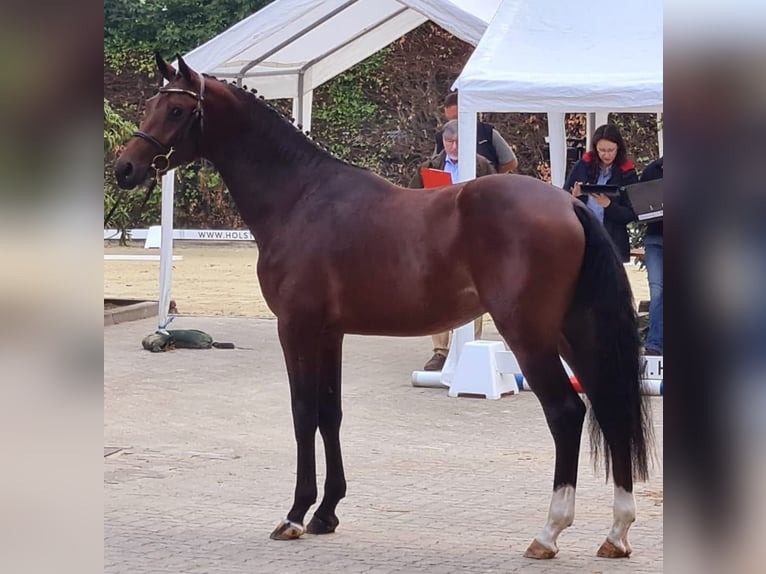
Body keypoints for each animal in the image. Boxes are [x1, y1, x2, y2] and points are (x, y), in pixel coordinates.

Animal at [115, 54, 652, 560]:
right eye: (151, 103)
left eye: (177, 110)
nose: (125, 169)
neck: (300, 197)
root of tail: (570, 204)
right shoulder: (330, 333)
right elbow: (330, 413)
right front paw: (327, 512)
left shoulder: (295, 328)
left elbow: (302, 412)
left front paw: (295, 514)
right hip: (572, 331)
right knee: (608, 405)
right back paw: (617, 533)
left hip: (529, 335)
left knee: (566, 412)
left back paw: (548, 533)